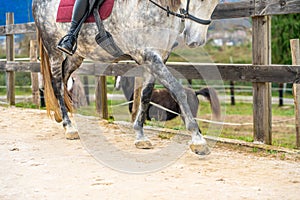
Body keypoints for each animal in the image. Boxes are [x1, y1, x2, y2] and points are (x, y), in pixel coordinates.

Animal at [32, 0, 219, 155]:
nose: (195, 41)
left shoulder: (156, 58)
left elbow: (145, 96)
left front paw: (140, 136)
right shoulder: (149, 56)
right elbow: (177, 90)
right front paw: (198, 140)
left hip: (76, 56)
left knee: (64, 79)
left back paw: (60, 116)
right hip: (55, 52)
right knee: (57, 84)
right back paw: (69, 127)